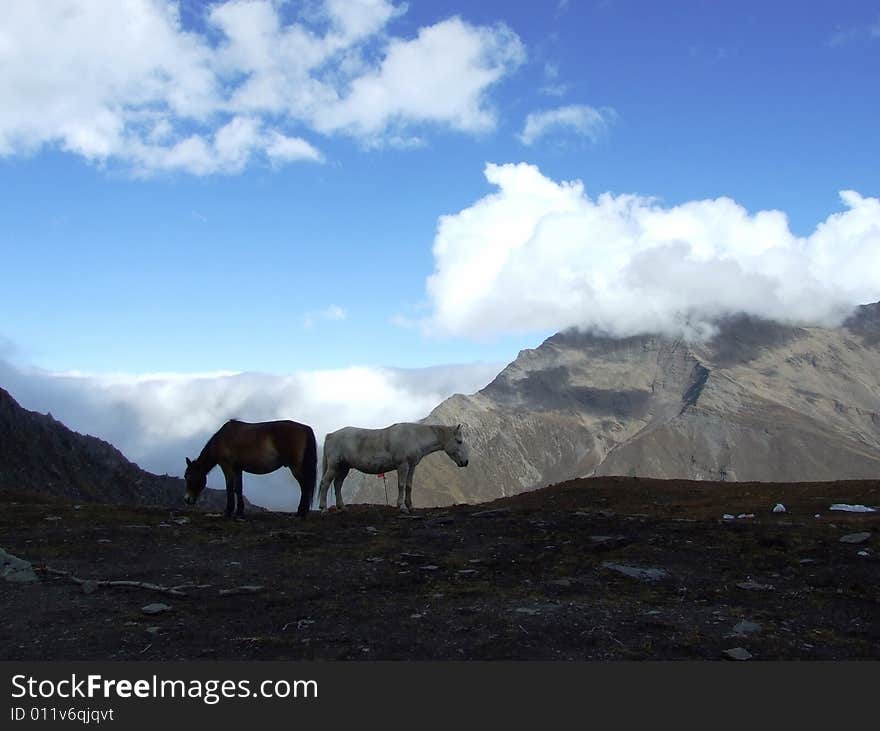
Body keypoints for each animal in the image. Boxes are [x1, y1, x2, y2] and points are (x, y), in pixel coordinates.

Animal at [184, 420, 318, 516]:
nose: (187, 499)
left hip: (295, 467)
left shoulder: (227, 466)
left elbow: (229, 487)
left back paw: (301, 512)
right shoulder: (238, 468)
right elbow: (238, 489)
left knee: (305, 486)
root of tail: (304, 428)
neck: (222, 439)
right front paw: (239, 511)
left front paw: (228, 511)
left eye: (188, 477)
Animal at [316, 424, 468, 516]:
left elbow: (409, 486)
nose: (465, 462)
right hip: (334, 466)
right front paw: (402, 507)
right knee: (325, 483)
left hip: (343, 468)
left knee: (337, 484)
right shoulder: (403, 466)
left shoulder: (412, 466)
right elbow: (401, 485)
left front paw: (410, 506)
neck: (414, 436)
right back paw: (323, 508)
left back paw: (342, 507)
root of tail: (331, 435)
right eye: (459, 441)